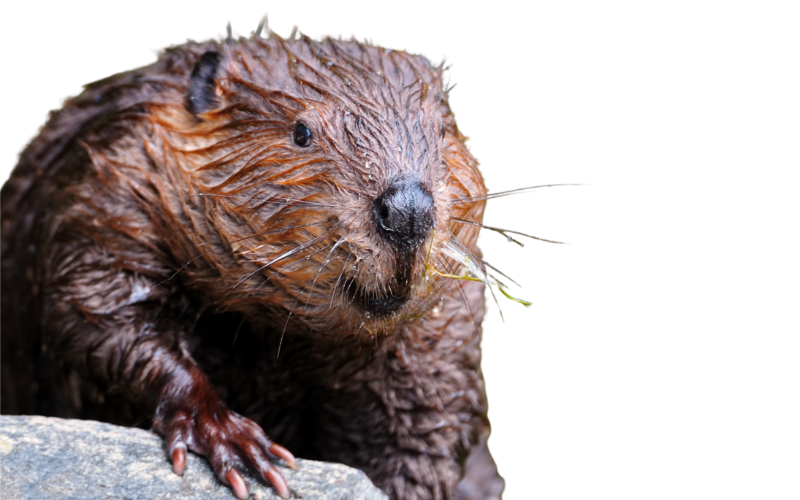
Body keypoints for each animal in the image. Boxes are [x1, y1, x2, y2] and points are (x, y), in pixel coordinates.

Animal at [0, 12, 502, 500]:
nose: (407, 210)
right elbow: (95, 308)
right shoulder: (112, 190)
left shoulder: (437, 330)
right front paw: (235, 443)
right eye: (301, 132)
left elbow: (427, 412)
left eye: (441, 130)